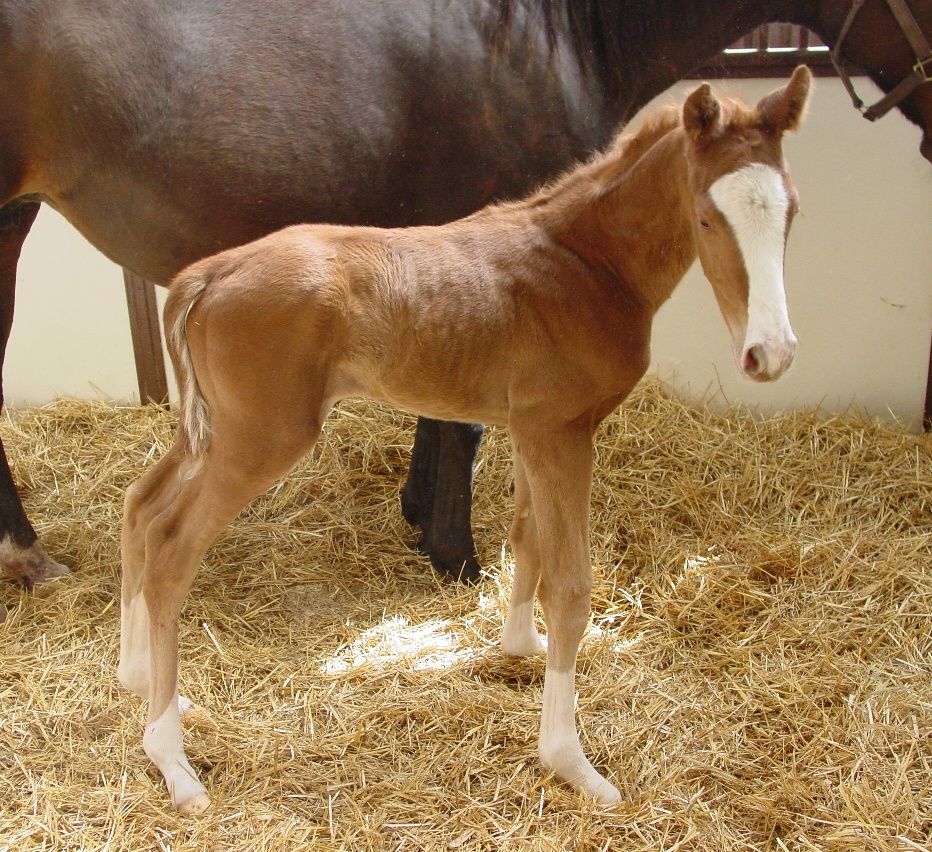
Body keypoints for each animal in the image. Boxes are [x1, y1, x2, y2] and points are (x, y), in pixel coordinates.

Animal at [1, 1, 929, 590]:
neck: (548, 28)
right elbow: (464, 422)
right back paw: (27, 555)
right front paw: (454, 552)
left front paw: (420, 519)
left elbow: (440, 396)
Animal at [116, 68, 812, 812]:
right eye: (708, 216)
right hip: (261, 437)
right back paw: (171, 759)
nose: (771, 354)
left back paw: (140, 681)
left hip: (214, 429)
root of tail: (209, 273)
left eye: (791, 212)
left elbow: (527, 537)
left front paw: (521, 645)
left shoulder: (536, 428)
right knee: (171, 549)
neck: (587, 264)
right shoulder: (562, 431)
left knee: (140, 505)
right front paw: (570, 761)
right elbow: (571, 583)